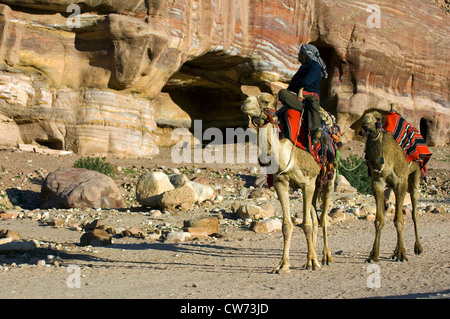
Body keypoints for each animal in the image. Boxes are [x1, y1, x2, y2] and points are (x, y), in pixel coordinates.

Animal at [241, 86, 336, 274]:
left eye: (266, 101)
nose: (245, 103)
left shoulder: (307, 182)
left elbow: (306, 224)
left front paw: (313, 262)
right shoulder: (281, 183)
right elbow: (287, 225)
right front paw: (283, 265)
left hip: (328, 178)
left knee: (323, 218)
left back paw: (325, 257)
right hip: (314, 187)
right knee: (315, 218)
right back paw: (311, 256)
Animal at [358, 111, 422, 264]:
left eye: (377, 118)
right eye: (363, 117)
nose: (366, 120)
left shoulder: (401, 182)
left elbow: (399, 220)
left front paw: (401, 254)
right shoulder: (377, 183)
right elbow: (378, 220)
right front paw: (373, 255)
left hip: (415, 173)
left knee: (414, 211)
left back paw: (417, 248)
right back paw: (394, 252)